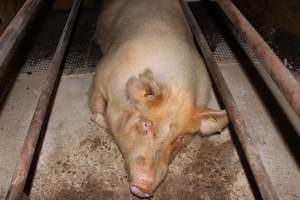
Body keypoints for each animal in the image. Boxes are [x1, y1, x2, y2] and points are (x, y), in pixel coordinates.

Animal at [88, 0, 229, 198]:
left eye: (180, 138)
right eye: (146, 124)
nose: (144, 187)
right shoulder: (100, 77)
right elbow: (96, 105)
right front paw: (95, 117)